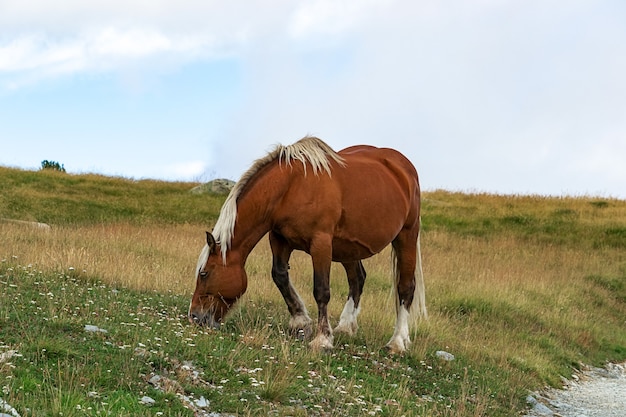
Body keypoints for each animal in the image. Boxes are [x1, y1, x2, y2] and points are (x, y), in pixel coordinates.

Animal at [188, 136, 426, 352]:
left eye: (204, 273)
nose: (195, 316)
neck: (291, 186)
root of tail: (404, 167)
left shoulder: (321, 243)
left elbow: (321, 290)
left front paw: (322, 339)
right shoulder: (280, 239)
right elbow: (280, 277)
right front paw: (300, 322)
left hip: (406, 236)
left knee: (405, 288)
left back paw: (397, 342)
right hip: (348, 247)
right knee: (357, 280)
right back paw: (345, 327)